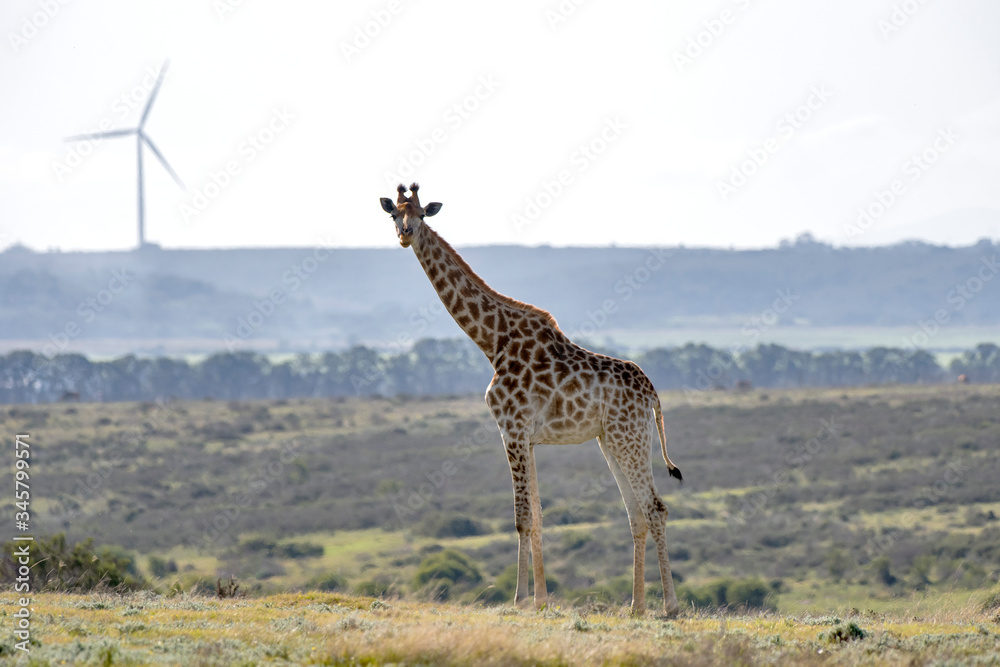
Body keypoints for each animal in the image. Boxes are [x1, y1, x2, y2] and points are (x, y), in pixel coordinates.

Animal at [379, 183, 684, 616]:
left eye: (422, 215)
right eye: (395, 214)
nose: (405, 235)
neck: (493, 341)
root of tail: (653, 394)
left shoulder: (512, 429)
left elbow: (523, 516)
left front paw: (523, 598)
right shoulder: (527, 437)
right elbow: (537, 514)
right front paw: (538, 598)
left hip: (630, 438)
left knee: (655, 508)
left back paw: (669, 605)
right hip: (611, 440)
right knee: (636, 514)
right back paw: (636, 607)